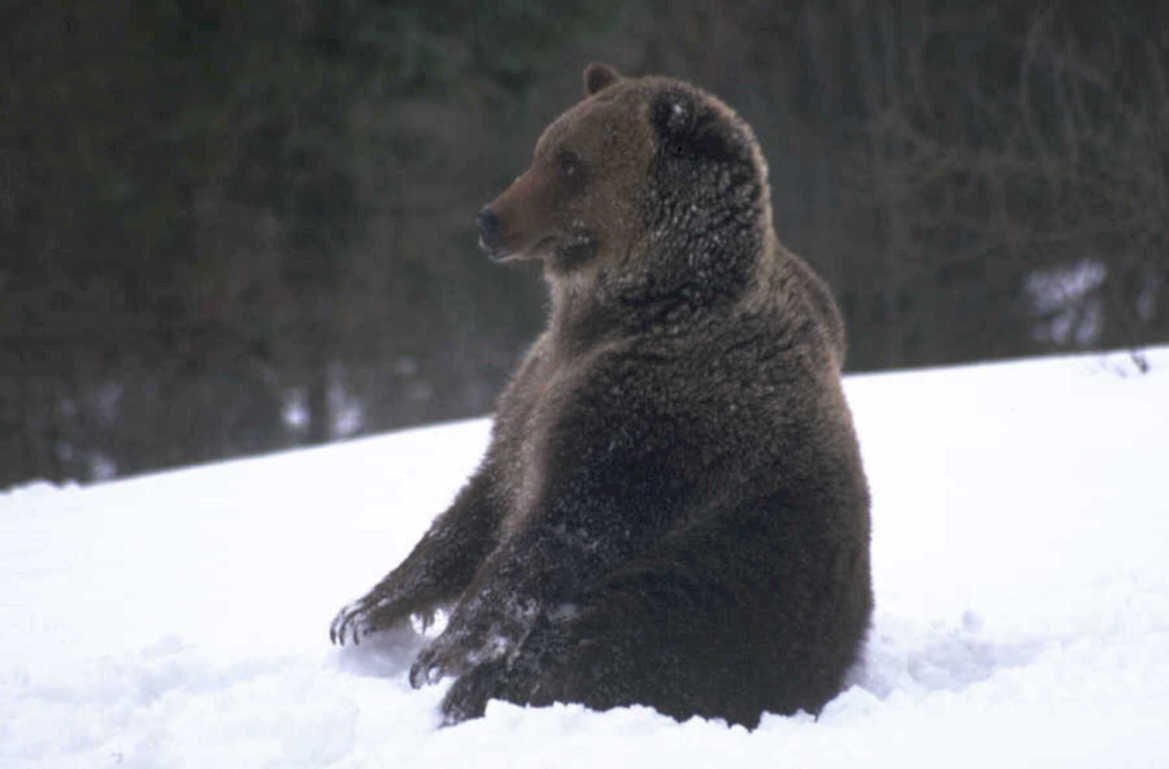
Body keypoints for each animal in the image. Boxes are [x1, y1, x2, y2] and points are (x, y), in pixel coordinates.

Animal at [330, 63, 872, 729]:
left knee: (591, 651)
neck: (632, 309)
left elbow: (562, 528)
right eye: (542, 150)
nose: (490, 219)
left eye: (570, 161)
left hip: (711, 603)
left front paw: (444, 652)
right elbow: (476, 507)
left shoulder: (659, 415)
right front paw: (365, 609)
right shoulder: (533, 393)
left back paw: (477, 695)